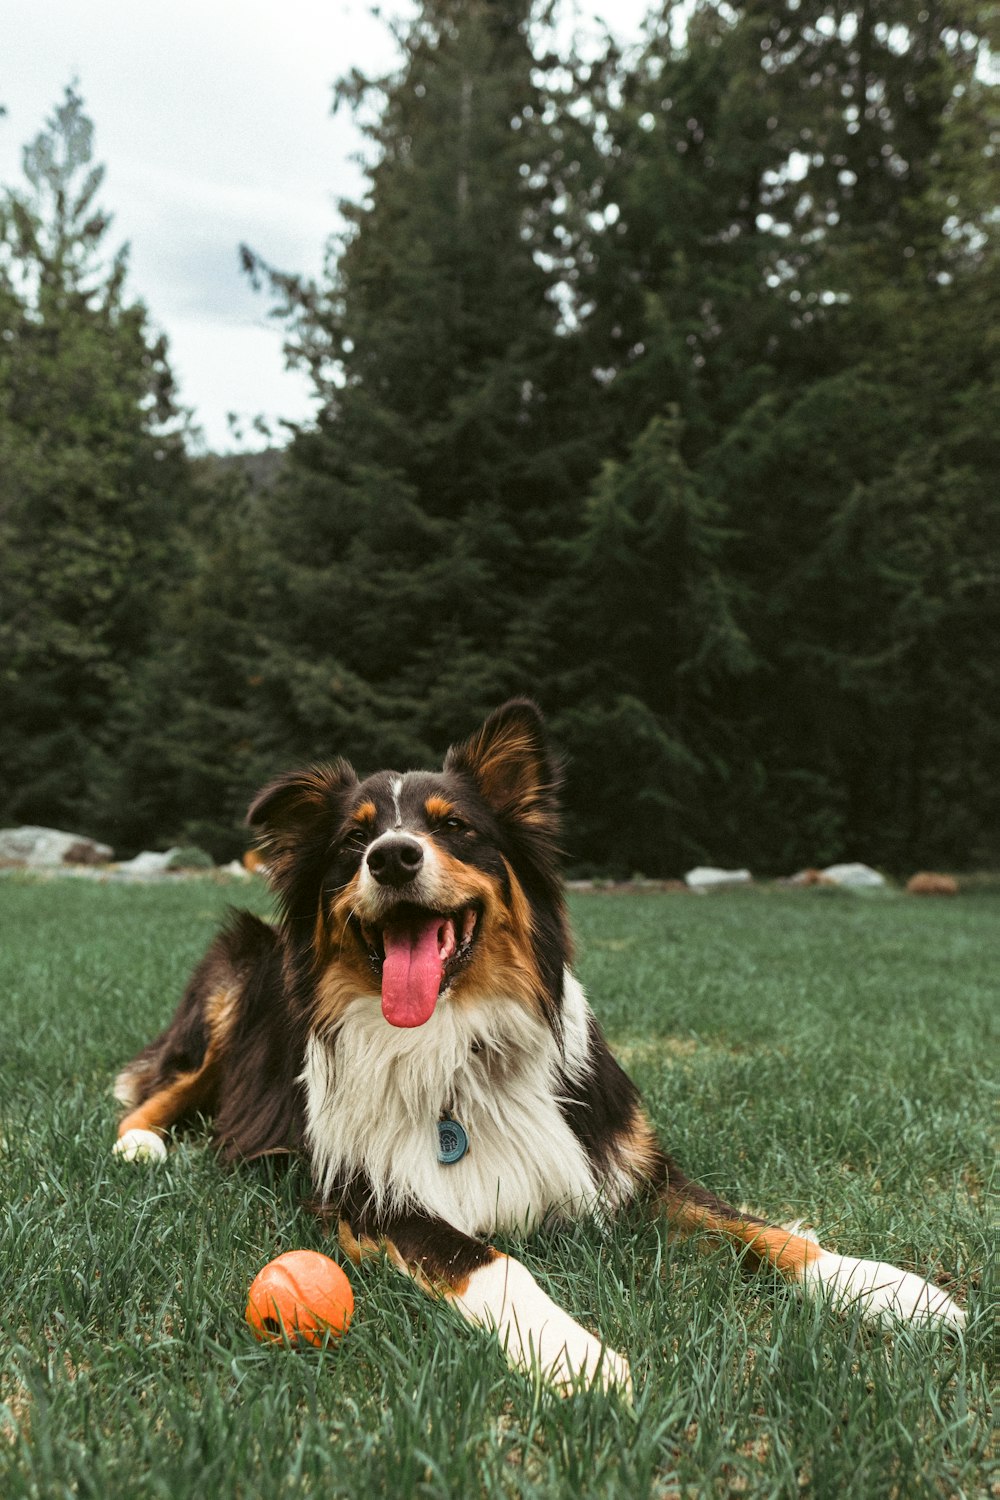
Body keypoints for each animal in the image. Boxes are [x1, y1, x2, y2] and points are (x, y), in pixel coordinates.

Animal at [113, 702, 965, 1392]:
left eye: (453, 827)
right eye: (354, 838)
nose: (391, 856)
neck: (453, 1039)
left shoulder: (627, 1162)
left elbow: (758, 1228)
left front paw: (893, 1291)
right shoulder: (368, 1193)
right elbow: (492, 1261)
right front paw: (576, 1355)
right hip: (234, 972)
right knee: (169, 1084)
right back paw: (139, 1145)